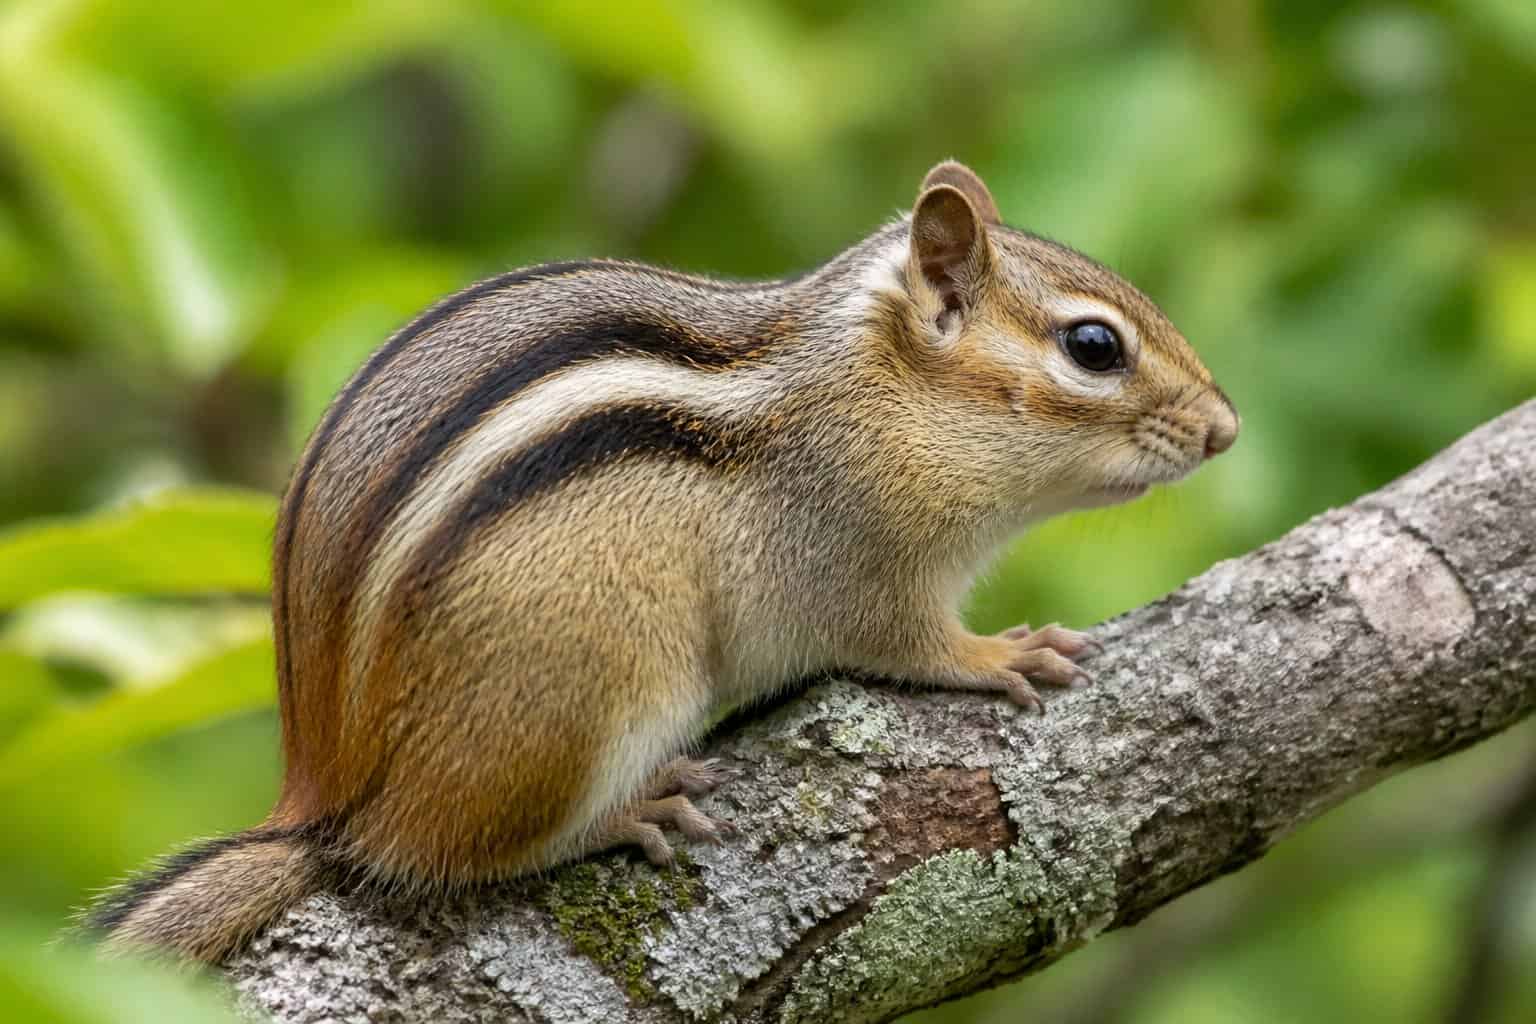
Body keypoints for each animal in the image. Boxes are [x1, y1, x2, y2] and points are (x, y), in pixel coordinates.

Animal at [85, 161, 1237, 964]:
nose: (1226, 429)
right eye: (1094, 347)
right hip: (601, 679)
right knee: (442, 849)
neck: (878, 393)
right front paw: (1001, 654)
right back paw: (621, 814)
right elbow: (908, 643)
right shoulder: (855, 554)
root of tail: (324, 799)